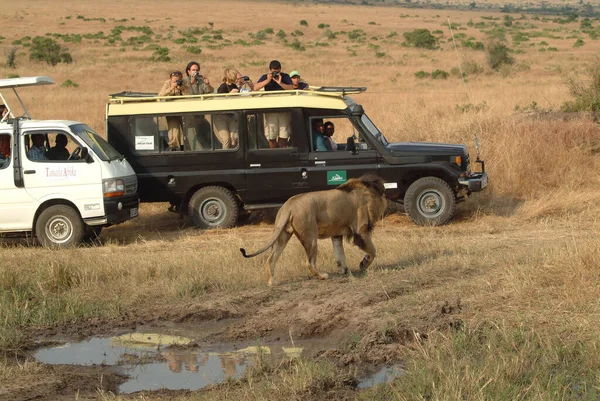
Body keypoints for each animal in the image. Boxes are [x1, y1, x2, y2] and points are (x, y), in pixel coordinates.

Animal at [240, 173, 386, 284]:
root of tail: (289, 205)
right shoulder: (361, 230)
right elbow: (373, 250)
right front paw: (363, 264)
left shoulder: (336, 235)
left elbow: (339, 254)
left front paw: (345, 271)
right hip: (310, 236)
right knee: (309, 262)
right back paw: (322, 276)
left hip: (282, 236)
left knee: (270, 259)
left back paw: (272, 282)